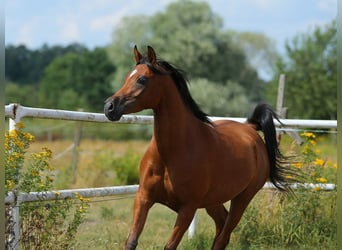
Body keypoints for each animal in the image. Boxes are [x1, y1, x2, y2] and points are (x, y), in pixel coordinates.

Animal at [103, 46, 292, 249]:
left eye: (142, 79)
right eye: (127, 77)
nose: (109, 107)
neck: (171, 154)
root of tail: (250, 129)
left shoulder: (188, 208)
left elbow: (170, 246)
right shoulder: (143, 198)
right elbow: (131, 242)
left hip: (242, 199)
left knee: (224, 236)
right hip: (213, 201)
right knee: (221, 224)